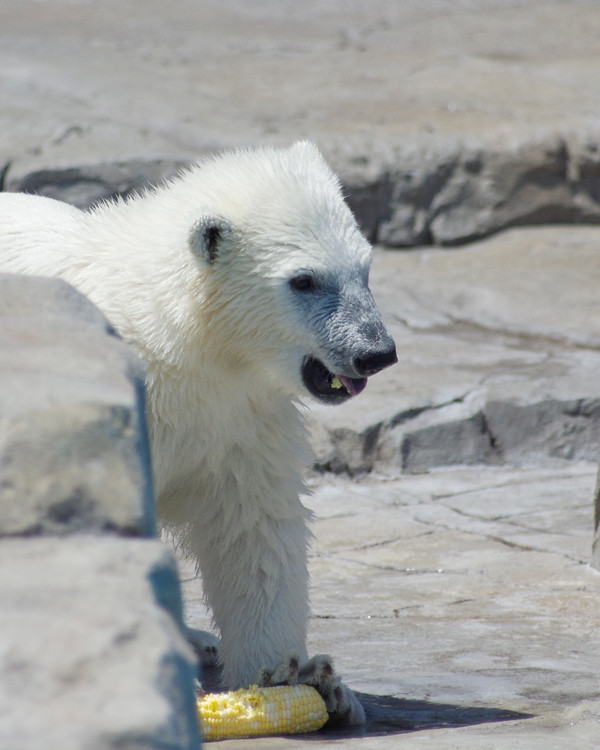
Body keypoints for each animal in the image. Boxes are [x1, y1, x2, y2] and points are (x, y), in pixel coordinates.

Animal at [1, 142, 398, 728]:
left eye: (365, 267)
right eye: (303, 280)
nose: (376, 351)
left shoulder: (239, 415)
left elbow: (253, 528)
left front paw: (305, 679)